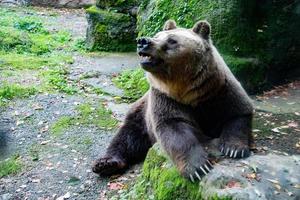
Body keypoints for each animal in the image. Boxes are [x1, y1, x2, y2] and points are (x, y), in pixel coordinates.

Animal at [91, 19, 253, 180]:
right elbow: (174, 128)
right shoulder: (165, 97)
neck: (190, 91)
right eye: (157, 35)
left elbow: (237, 114)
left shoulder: (219, 90)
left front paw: (234, 149)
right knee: (127, 137)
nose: (143, 41)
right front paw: (198, 167)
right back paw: (105, 164)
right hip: (141, 114)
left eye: (172, 40)